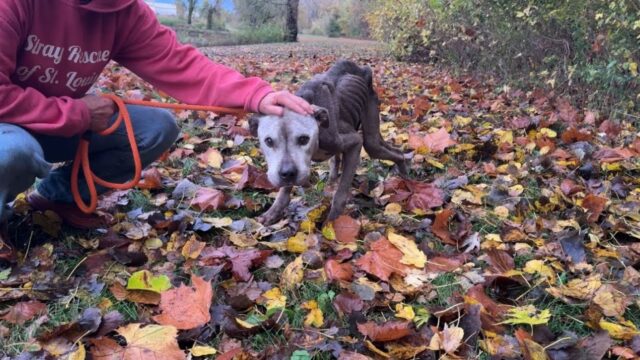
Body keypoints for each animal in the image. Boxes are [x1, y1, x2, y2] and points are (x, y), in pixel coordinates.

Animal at [251, 60, 408, 224]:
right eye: (268, 141)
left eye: (304, 139)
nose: (287, 173)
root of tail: (363, 69)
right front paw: (274, 210)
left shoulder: (355, 143)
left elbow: (341, 192)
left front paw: (332, 222)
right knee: (336, 160)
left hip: (371, 138)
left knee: (395, 152)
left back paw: (405, 175)